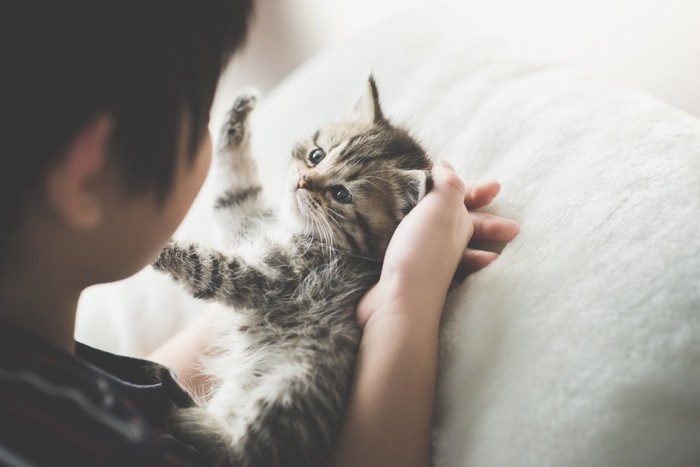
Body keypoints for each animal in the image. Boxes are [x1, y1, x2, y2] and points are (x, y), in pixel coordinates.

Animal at [154, 77, 432, 467]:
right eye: (317, 155)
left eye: (341, 194)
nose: (302, 182)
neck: (298, 229)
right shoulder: (241, 221)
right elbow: (231, 190)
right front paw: (236, 115)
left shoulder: (265, 277)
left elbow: (207, 264)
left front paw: (156, 248)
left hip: (290, 384)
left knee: (242, 454)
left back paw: (185, 413)